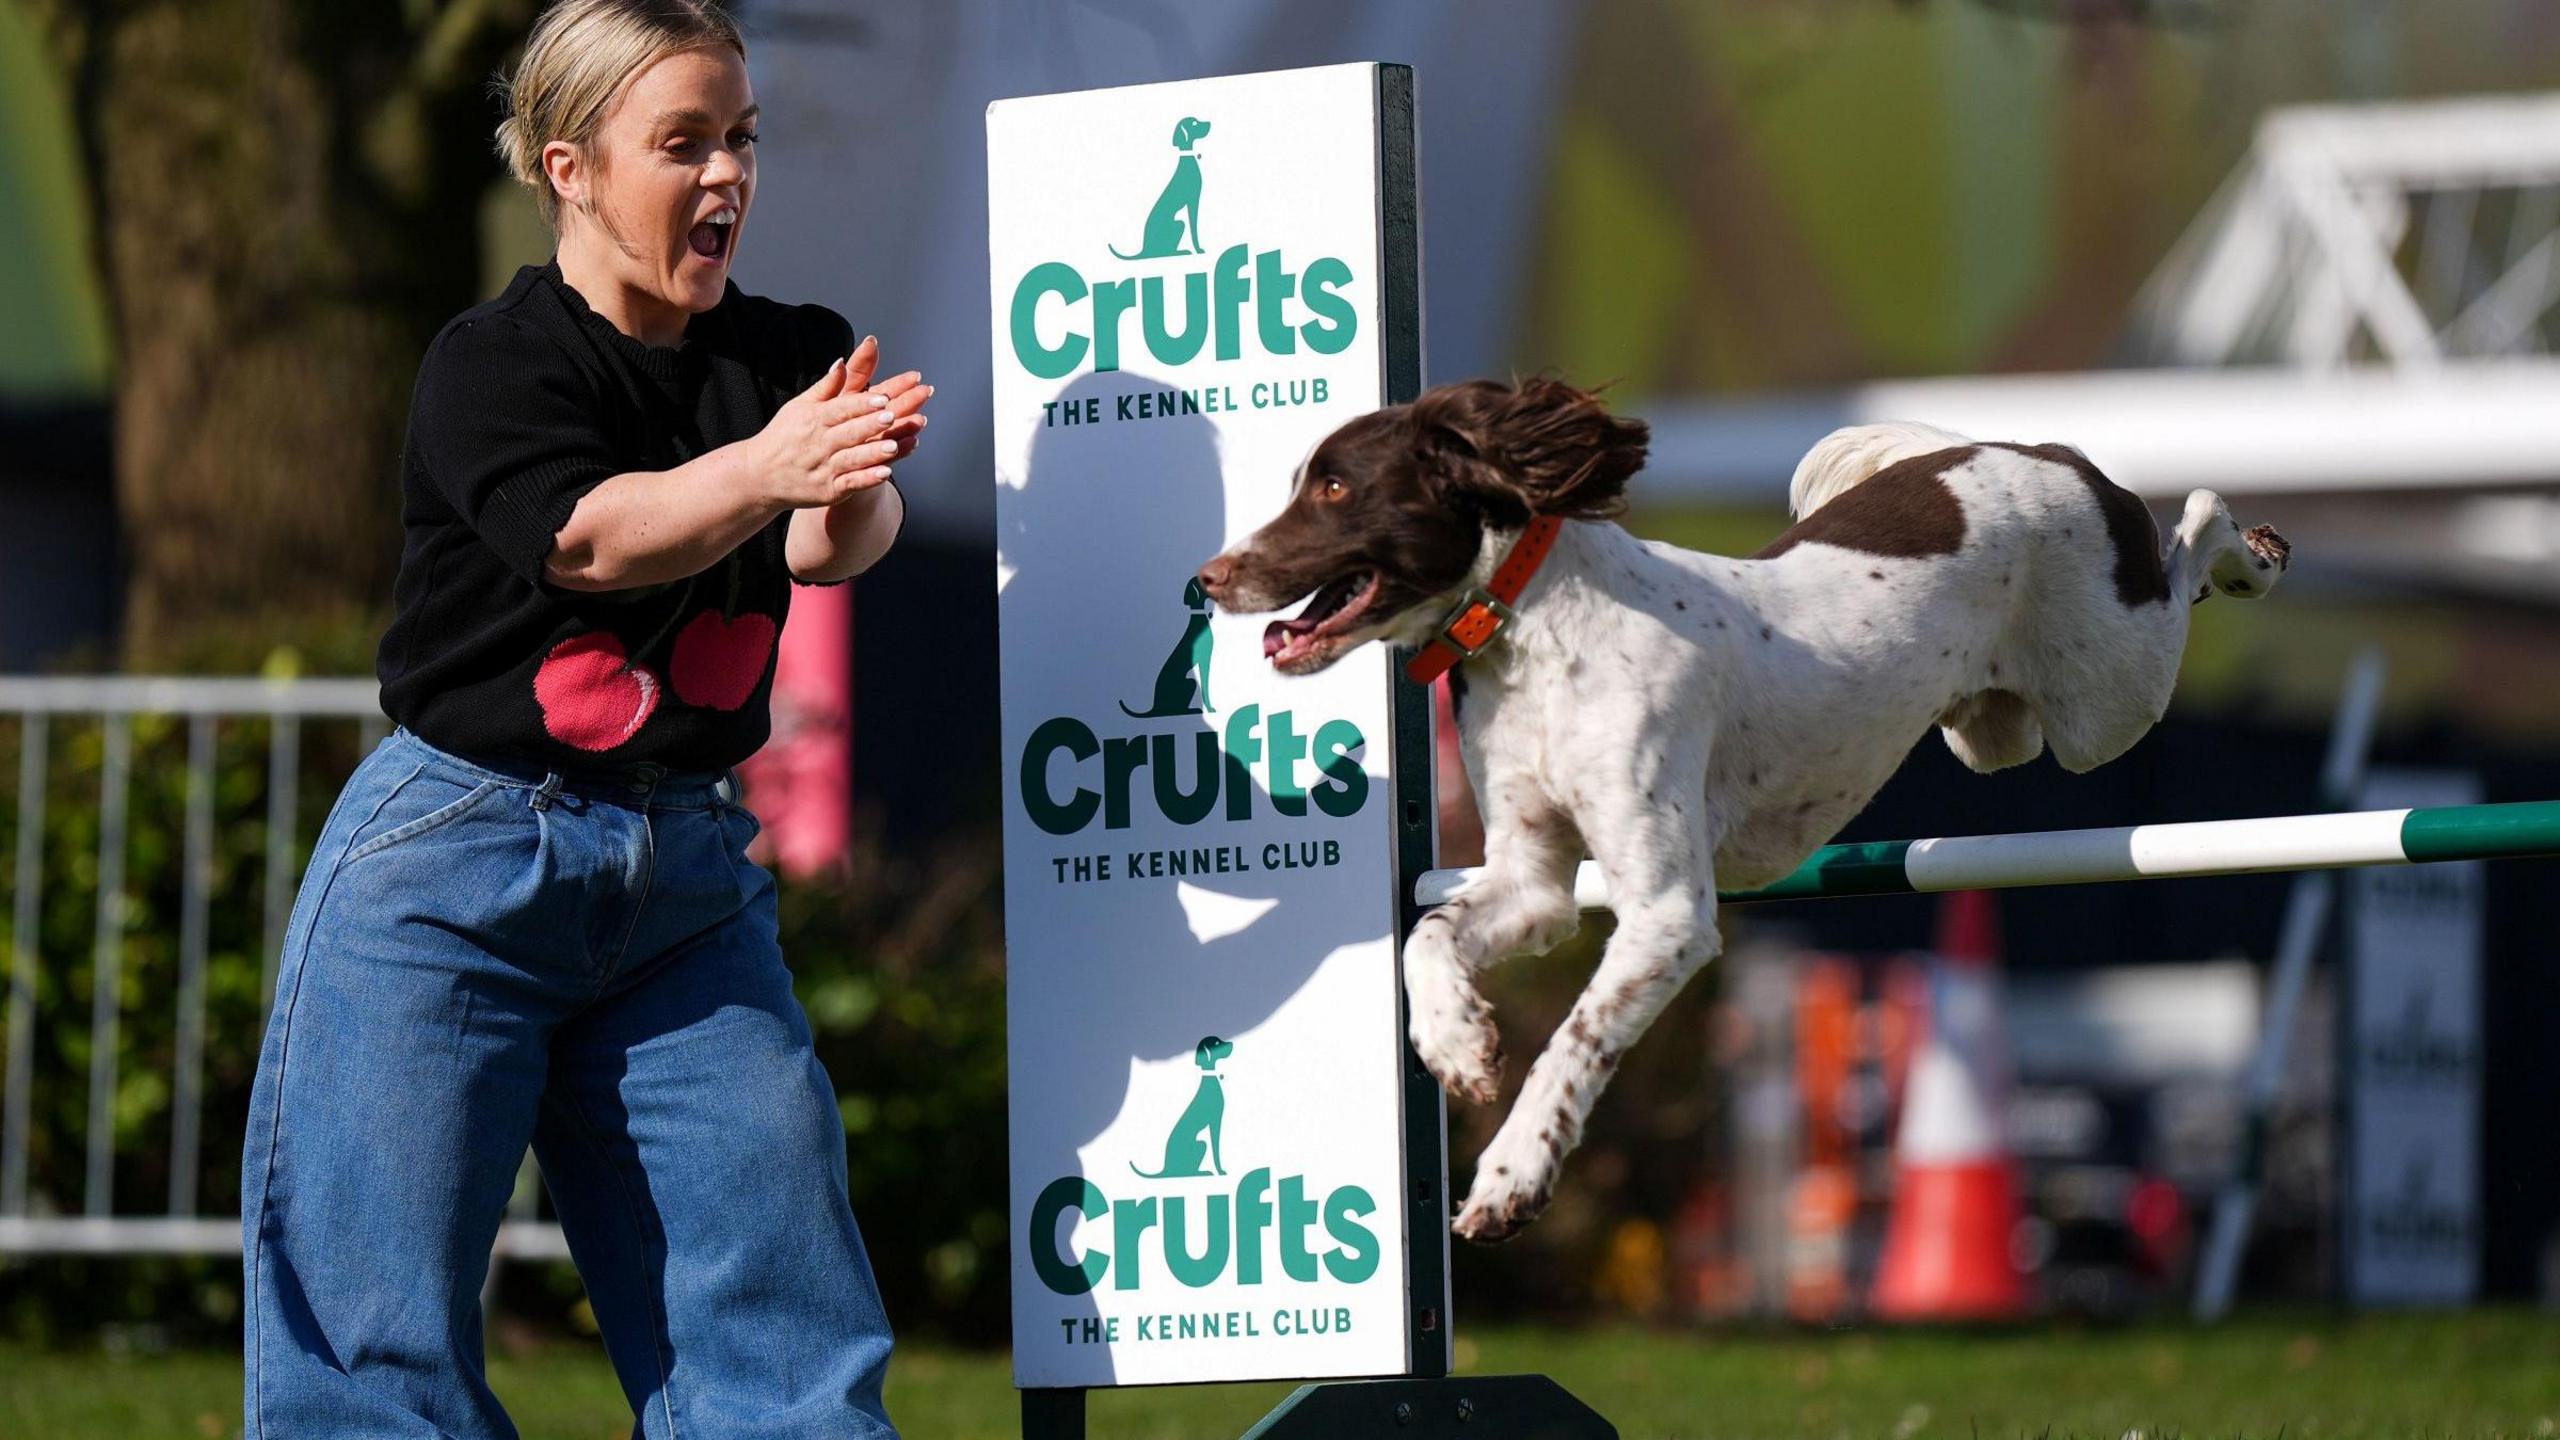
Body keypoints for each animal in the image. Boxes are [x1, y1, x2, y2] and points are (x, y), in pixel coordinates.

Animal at [1187, 376, 2293, 1240]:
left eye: (1336, 486)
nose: (1208, 577)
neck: (1537, 629)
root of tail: (2040, 446)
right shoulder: (1532, 883)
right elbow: (1427, 934)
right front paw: (1454, 1045)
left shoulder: (1668, 915)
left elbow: (1574, 1040)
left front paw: (1510, 1176)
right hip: (1992, 734)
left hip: (2109, 699)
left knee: (2193, 527)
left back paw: (2257, 553)